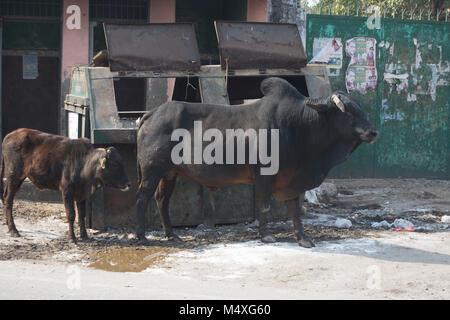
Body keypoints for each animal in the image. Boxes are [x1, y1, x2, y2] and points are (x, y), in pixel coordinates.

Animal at [135, 77, 378, 248]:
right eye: (348, 112)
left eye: (361, 108)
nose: (373, 132)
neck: (300, 125)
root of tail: (151, 113)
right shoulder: (264, 176)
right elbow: (264, 205)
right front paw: (266, 235)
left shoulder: (293, 179)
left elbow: (295, 210)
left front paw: (303, 238)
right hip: (151, 171)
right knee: (142, 198)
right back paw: (141, 236)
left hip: (169, 173)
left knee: (162, 200)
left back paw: (171, 234)